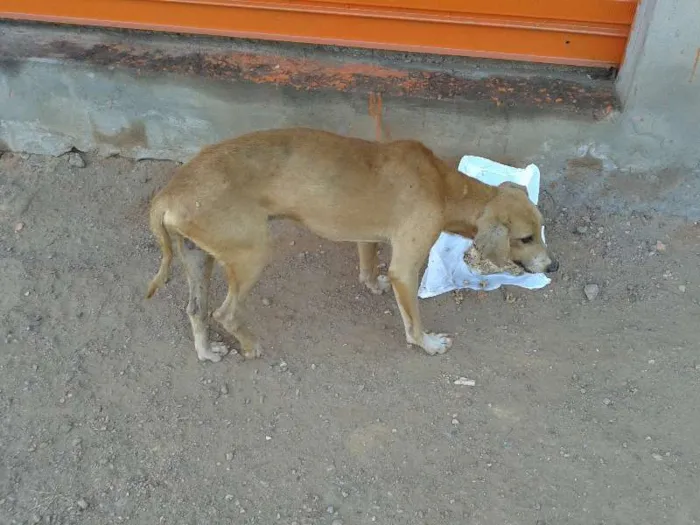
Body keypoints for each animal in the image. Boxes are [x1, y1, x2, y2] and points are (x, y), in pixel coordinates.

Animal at [146, 129, 556, 362]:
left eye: (541, 229)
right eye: (524, 238)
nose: (553, 267)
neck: (444, 186)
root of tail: (168, 194)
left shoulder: (368, 235)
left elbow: (367, 265)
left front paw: (371, 284)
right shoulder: (405, 269)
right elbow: (412, 320)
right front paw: (427, 344)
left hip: (198, 257)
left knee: (196, 309)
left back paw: (206, 352)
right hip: (251, 256)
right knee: (225, 313)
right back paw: (249, 347)